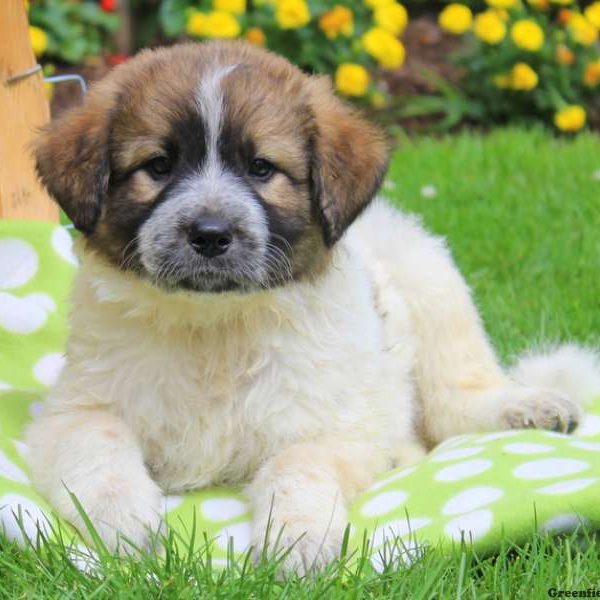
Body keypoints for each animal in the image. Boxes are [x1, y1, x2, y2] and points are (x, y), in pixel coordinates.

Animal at [27, 43, 600, 572]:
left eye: (262, 168)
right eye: (159, 166)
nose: (210, 234)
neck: (215, 328)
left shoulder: (337, 425)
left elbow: (297, 465)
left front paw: (296, 539)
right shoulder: (76, 407)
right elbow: (99, 444)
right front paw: (123, 519)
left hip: (433, 284)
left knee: (451, 399)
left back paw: (525, 407)